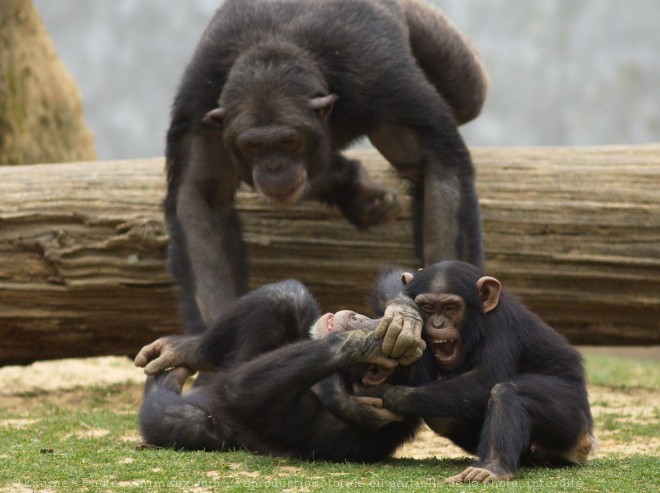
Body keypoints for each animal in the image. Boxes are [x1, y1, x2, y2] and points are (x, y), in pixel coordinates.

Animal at [135, 278, 422, 464]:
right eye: (378, 317)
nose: (356, 317)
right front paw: (401, 319)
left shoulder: (307, 417)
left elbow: (242, 390)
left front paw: (368, 342)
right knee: (287, 297)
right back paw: (187, 350)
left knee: (178, 418)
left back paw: (166, 381)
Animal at [168, 0, 488, 332]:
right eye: (253, 145)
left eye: (288, 141)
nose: (274, 167)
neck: (277, 44)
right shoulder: (201, 105)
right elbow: (201, 197)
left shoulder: (384, 85)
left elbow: (436, 168)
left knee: (469, 92)